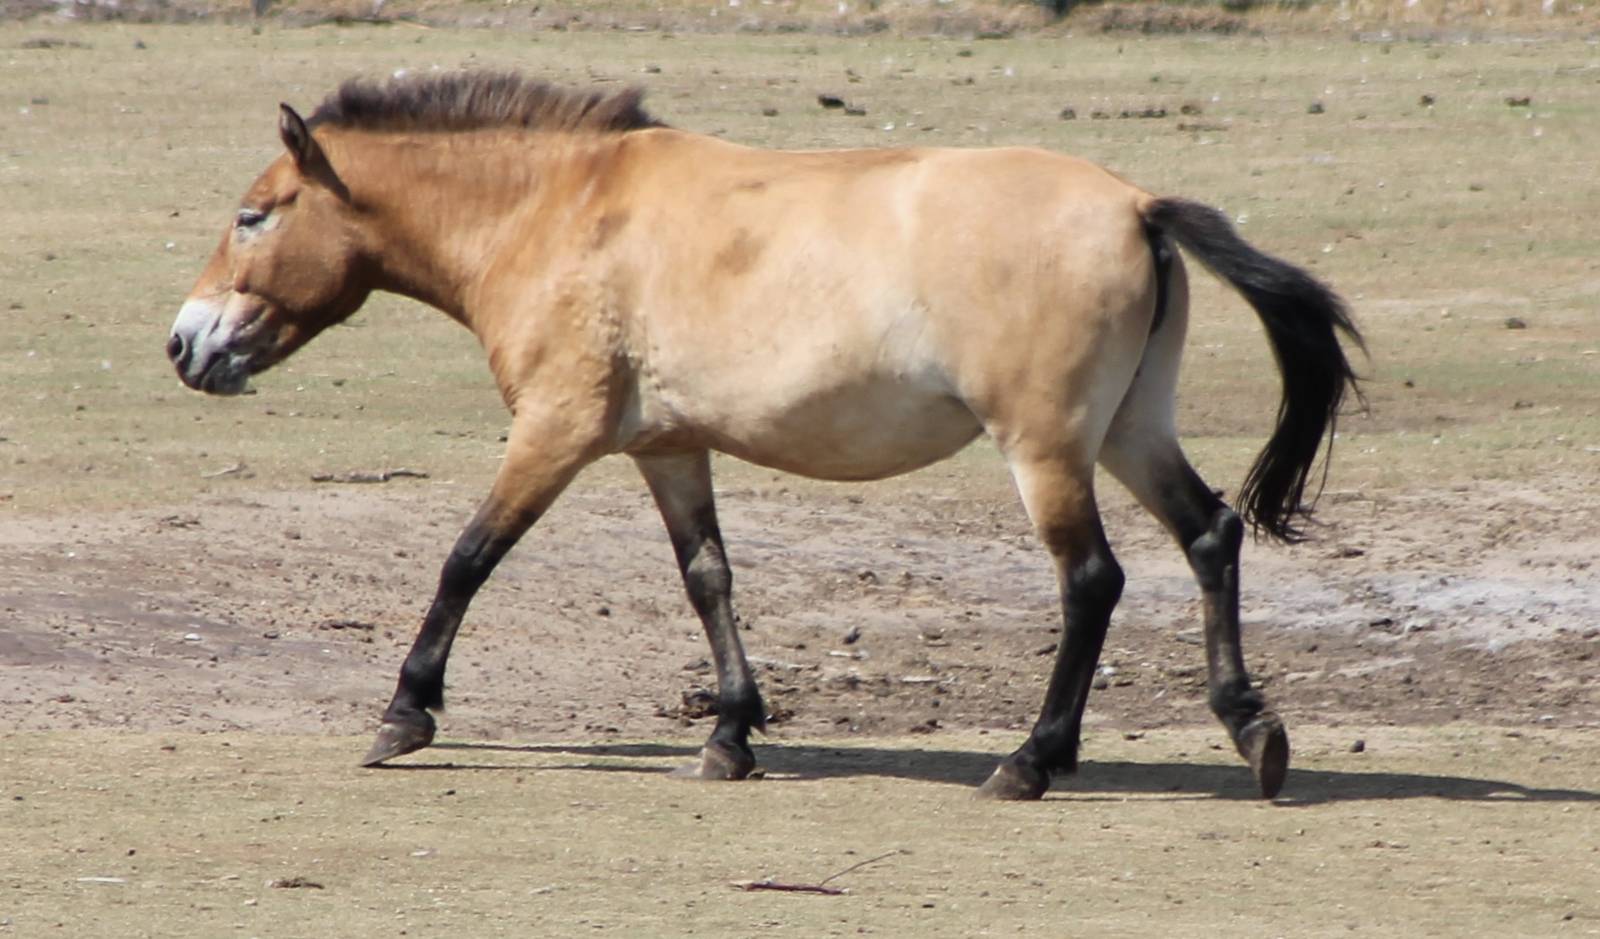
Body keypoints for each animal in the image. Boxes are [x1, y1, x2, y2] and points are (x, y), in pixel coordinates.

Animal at [166, 71, 1362, 801]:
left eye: (253, 215)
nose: (185, 344)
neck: (556, 210)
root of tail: (1137, 205)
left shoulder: (555, 431)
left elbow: (467, 557)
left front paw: (404, 713)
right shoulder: (667, 448)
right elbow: (709, 578)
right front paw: (730, 734)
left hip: (1046, 447)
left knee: (1092, 580)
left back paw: (1031, 760)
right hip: (1127, 430)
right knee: (1209, 534)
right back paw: (1251, 731)